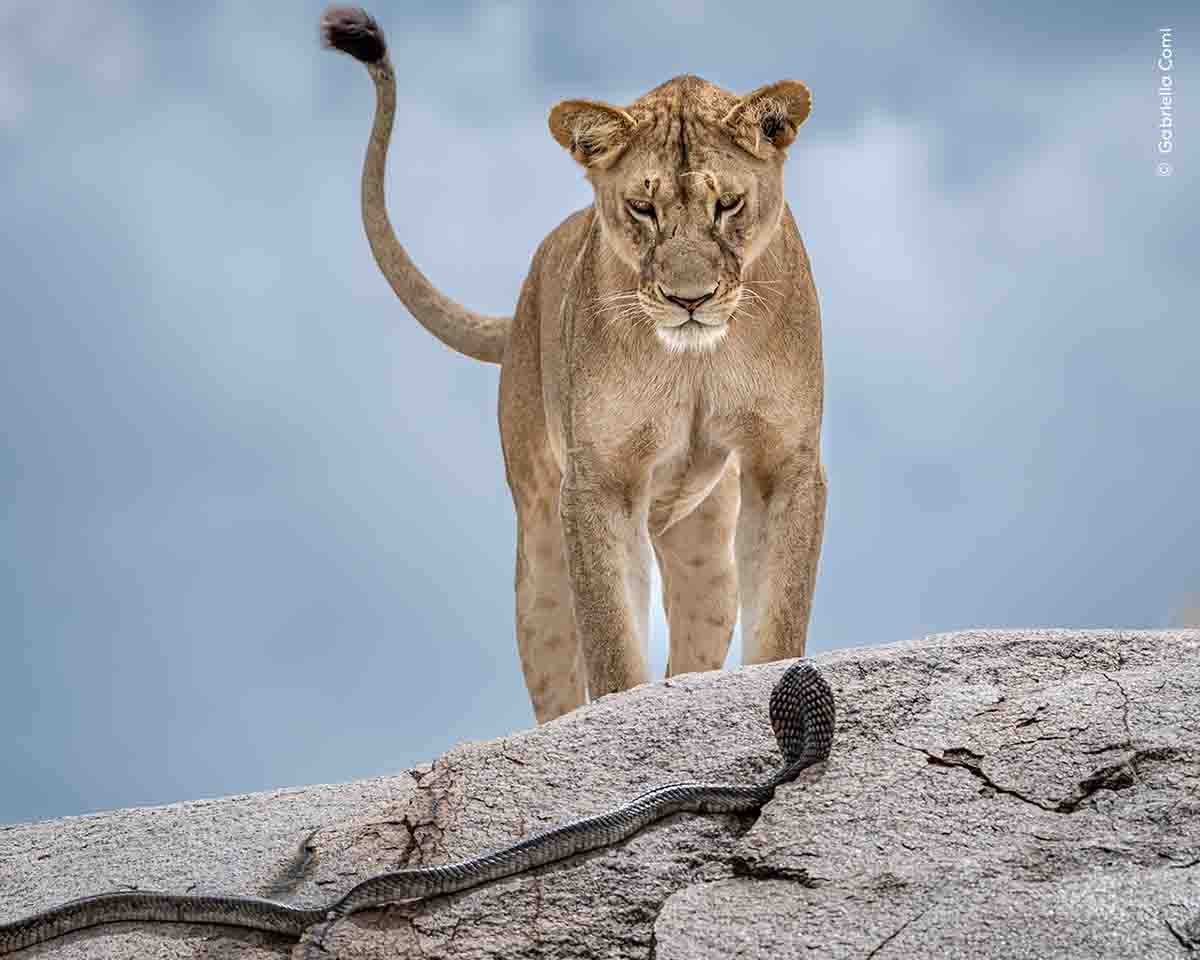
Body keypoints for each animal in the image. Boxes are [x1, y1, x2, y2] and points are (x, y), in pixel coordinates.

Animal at [321, 7, 827, 723]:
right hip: (539, 548)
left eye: (727, 204)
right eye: (642, 208)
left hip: (706, 552)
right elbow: (611, 643)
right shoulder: (600, 479)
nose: (690, 299)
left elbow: (780, 615)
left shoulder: (785, 461)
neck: (695, 361)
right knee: (555, 662)